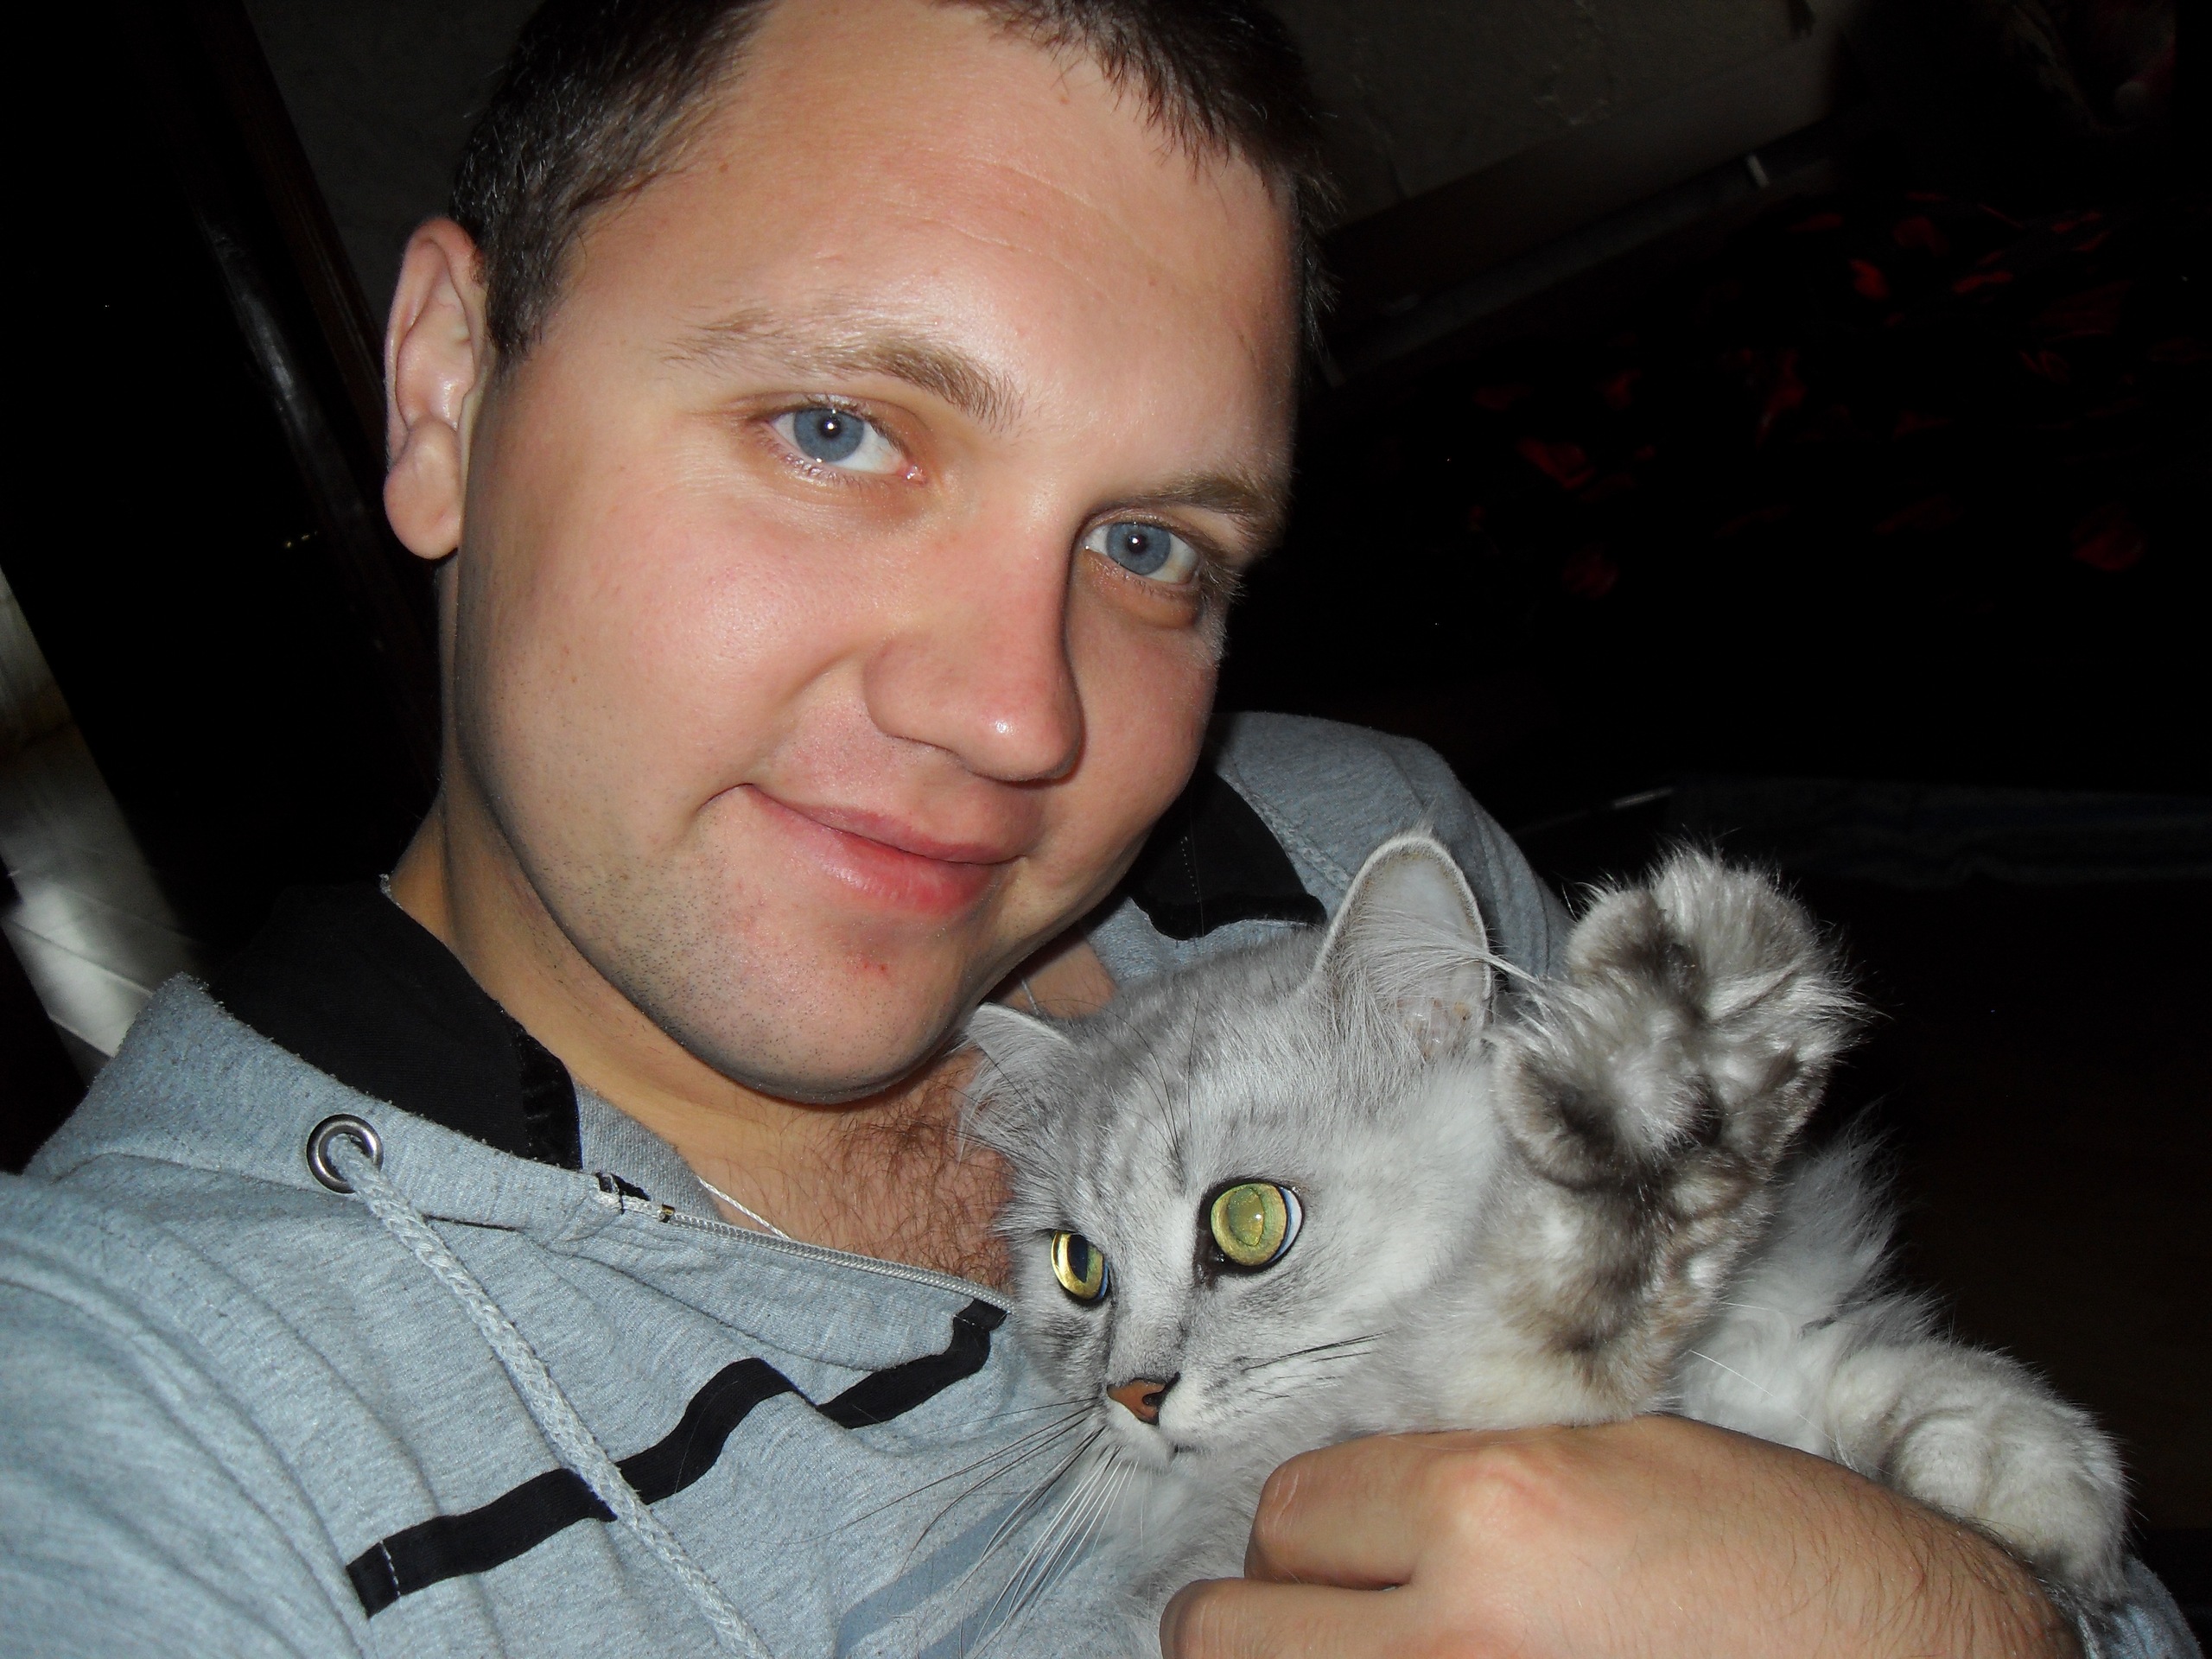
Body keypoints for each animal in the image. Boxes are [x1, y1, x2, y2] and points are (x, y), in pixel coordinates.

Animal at [965, 832, 2128, 1636]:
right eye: (1081, 1269)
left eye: (1246, 1223)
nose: (1131, 1396)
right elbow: (1538, 1317)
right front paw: (1668, 1055)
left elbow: (1867, 1372)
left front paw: (2027, 1477)